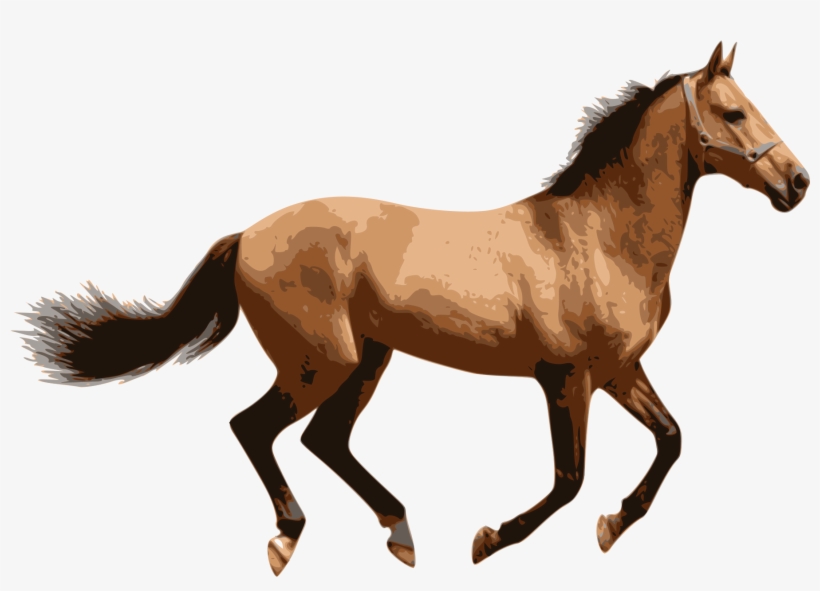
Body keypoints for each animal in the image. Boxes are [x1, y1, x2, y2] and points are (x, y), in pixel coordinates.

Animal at [21, 42, 810, 577]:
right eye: (734, 113)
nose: (798, 182)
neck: (596, 237)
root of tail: (247, 234)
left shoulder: (618, 370)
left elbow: (672, 439)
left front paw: (613, 525)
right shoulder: (565, 378)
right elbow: (568, 479)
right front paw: (489, 540)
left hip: (368, 358)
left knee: (324, 439)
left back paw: (399, 532)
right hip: (323, 361)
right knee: (255, 426)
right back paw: (288, 536)